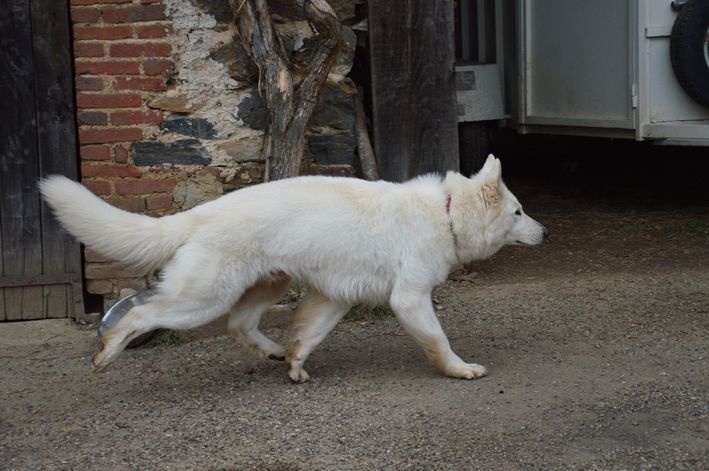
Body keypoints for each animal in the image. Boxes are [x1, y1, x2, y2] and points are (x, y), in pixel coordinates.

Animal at [40, 156, 548, 384]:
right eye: (519, 212)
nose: (545, 233)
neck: (445, 213)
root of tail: (201, 213)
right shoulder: (410, 299)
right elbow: (438, 341)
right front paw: (460, 370)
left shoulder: (335, 298)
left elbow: (308, 335)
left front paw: (295, 363)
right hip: (201, 299)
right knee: (142, 315)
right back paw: (108, 351)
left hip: (267, 285)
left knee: (240, 327)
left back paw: (273, 352)